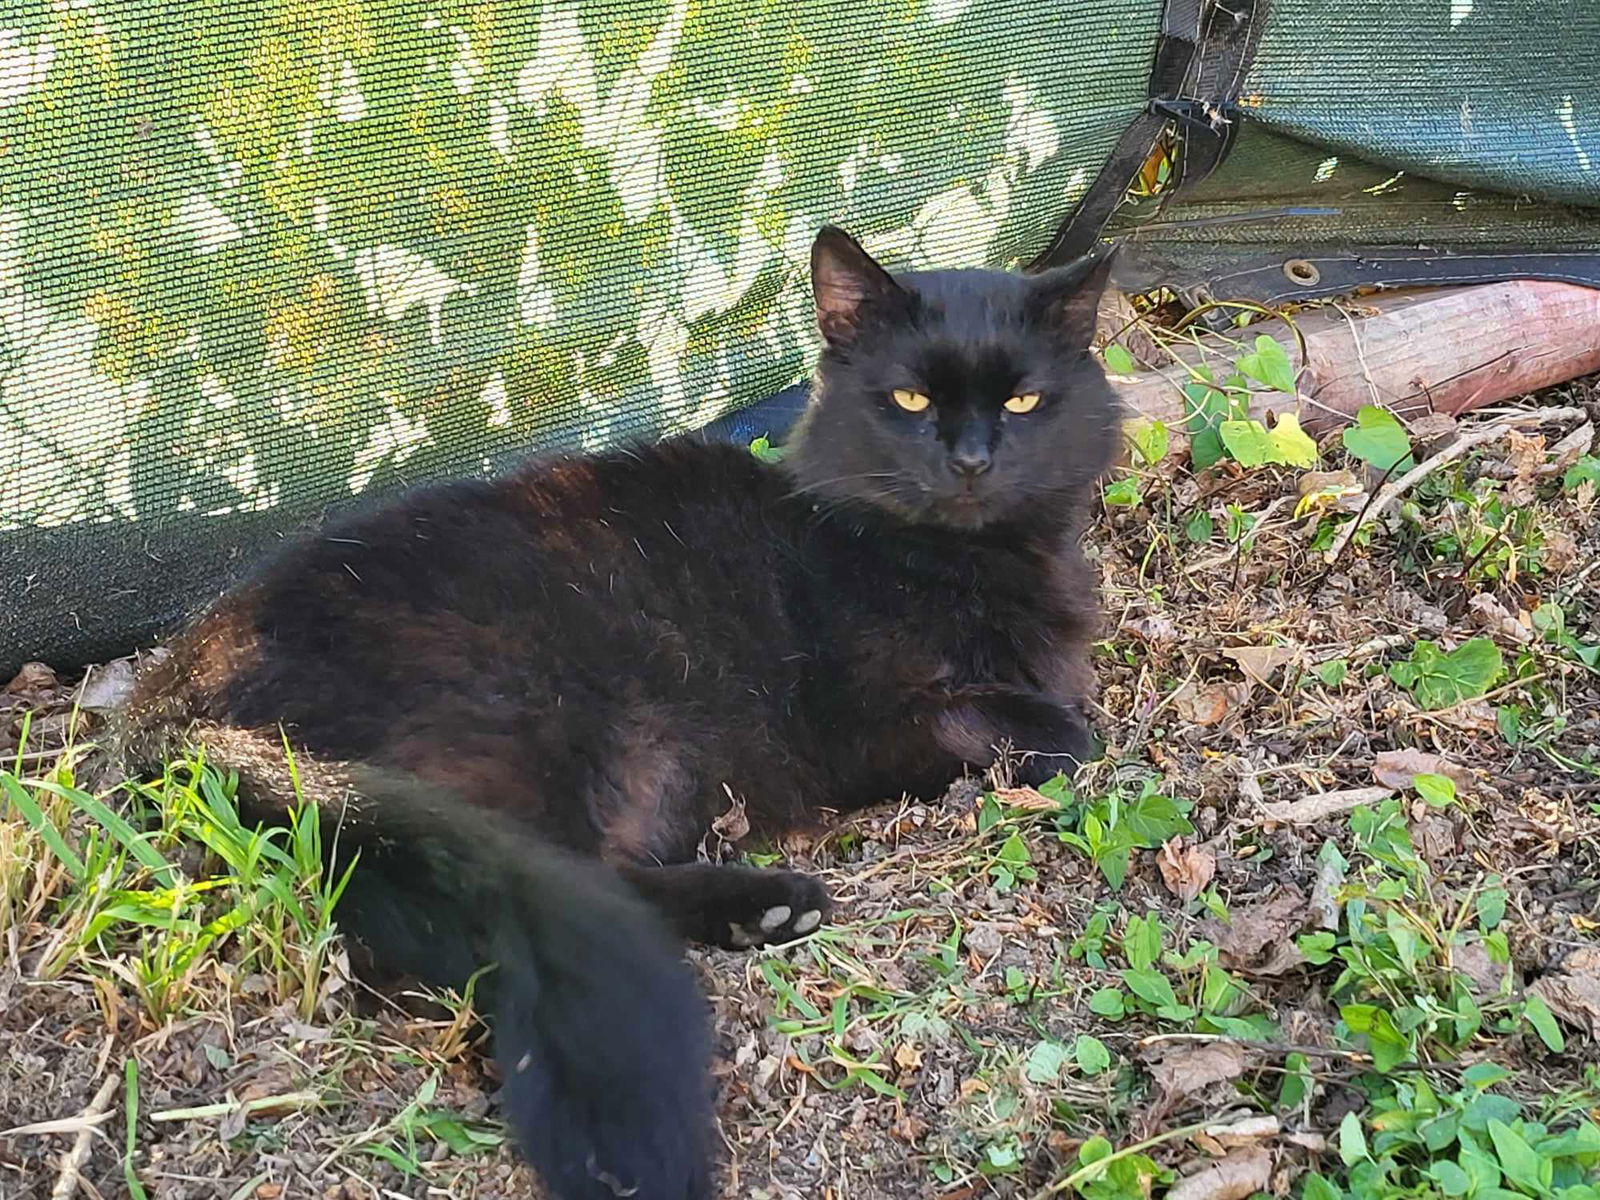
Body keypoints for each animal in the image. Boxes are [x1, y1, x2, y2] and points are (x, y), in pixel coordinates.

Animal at [124, 227, 1120, 1200]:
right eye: (910, 398)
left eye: (1025, 401)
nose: (972, 462)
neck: (953, 561)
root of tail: (169, 695)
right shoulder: (859, 723)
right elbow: (1059, 731)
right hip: (540, 724)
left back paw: (761, 914)